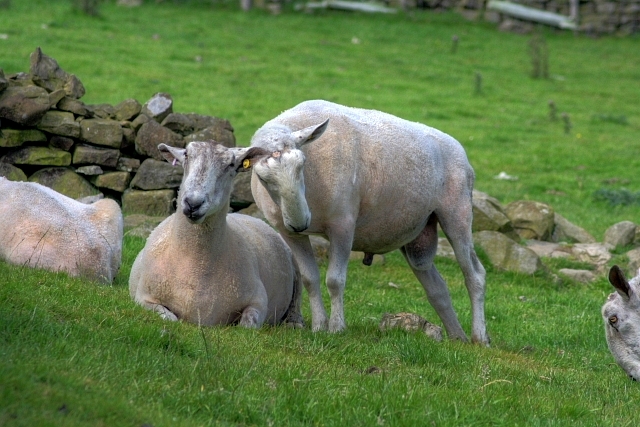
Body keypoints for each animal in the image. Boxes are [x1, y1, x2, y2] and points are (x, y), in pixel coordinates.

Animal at [129, 141, 304, 328]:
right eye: (186, 155)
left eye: (231, 165)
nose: (193, 203)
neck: (195, 264)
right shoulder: (143, 298)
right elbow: (170, 318)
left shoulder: (258, 301)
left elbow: (247, 325)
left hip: (295, 267)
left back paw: (294, 324)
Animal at [250, 99, 490, 344]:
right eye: (261, 178)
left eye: (302, 164)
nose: (301, 222)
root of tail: (458, 148)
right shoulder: (289, 233)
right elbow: (309, 279)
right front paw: (318, 327)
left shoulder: (343, 224)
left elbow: (335, 280)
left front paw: (336, 328)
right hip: (413, 235)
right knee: (436, 288)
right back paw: (457, 337)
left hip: (457, 213)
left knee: (475, 275)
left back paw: (480, 337)